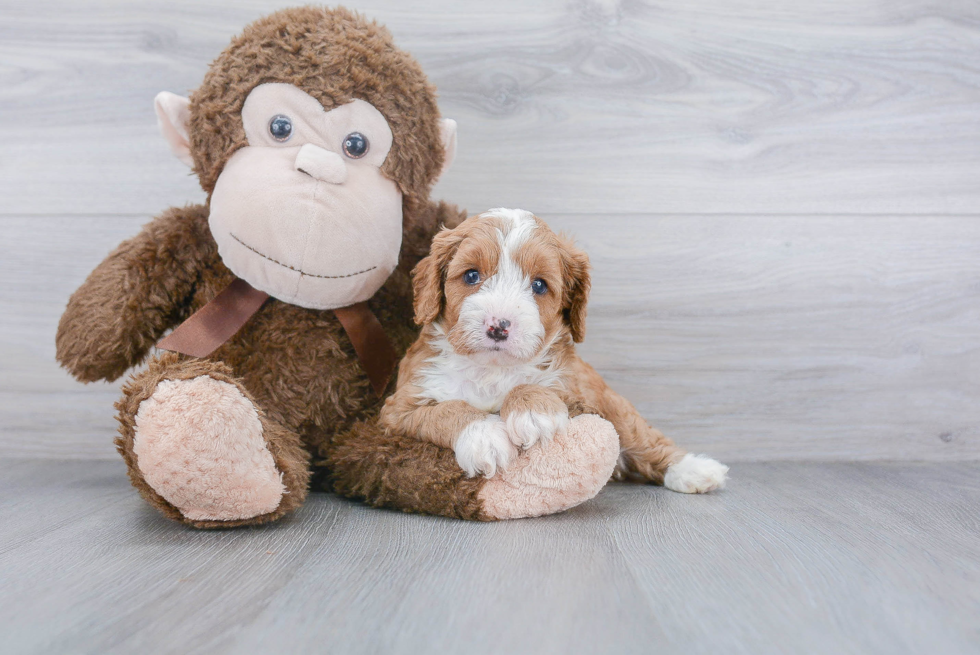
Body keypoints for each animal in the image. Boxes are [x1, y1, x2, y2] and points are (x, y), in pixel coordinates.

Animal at [382, 209, 728, 492]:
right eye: (471, 275)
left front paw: (533, 411)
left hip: (612, 404)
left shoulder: (577, 389)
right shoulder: (398, 410)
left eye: (539, 285)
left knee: (643, 438)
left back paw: (695, 470)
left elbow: (537, 386)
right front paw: (485, 437)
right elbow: (445, 410)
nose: (498, 326)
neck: (493, 369)